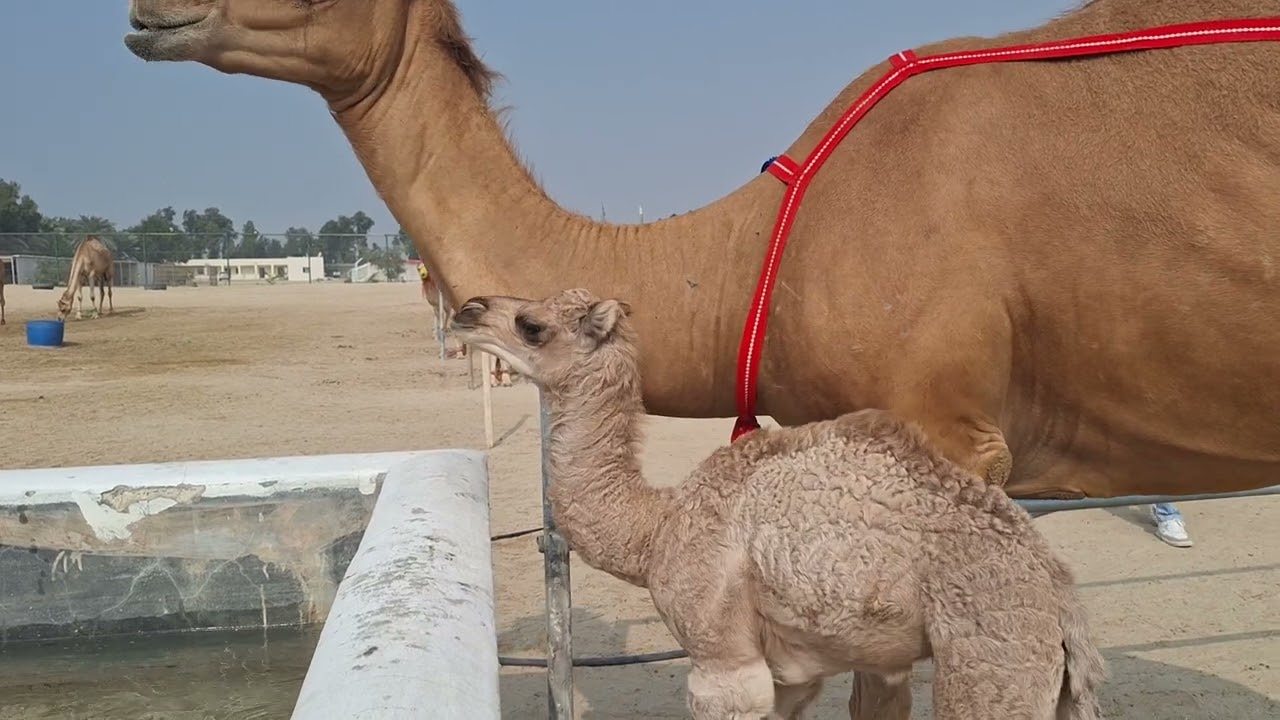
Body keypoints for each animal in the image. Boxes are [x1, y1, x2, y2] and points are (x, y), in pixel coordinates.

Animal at [452, 288, 1106, 719]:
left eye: (532, 325)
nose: (467, 310)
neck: (656, 527)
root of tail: (1060, 596)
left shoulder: (721, 657)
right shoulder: (791, 673)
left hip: (991, 659)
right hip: (1053, 683)